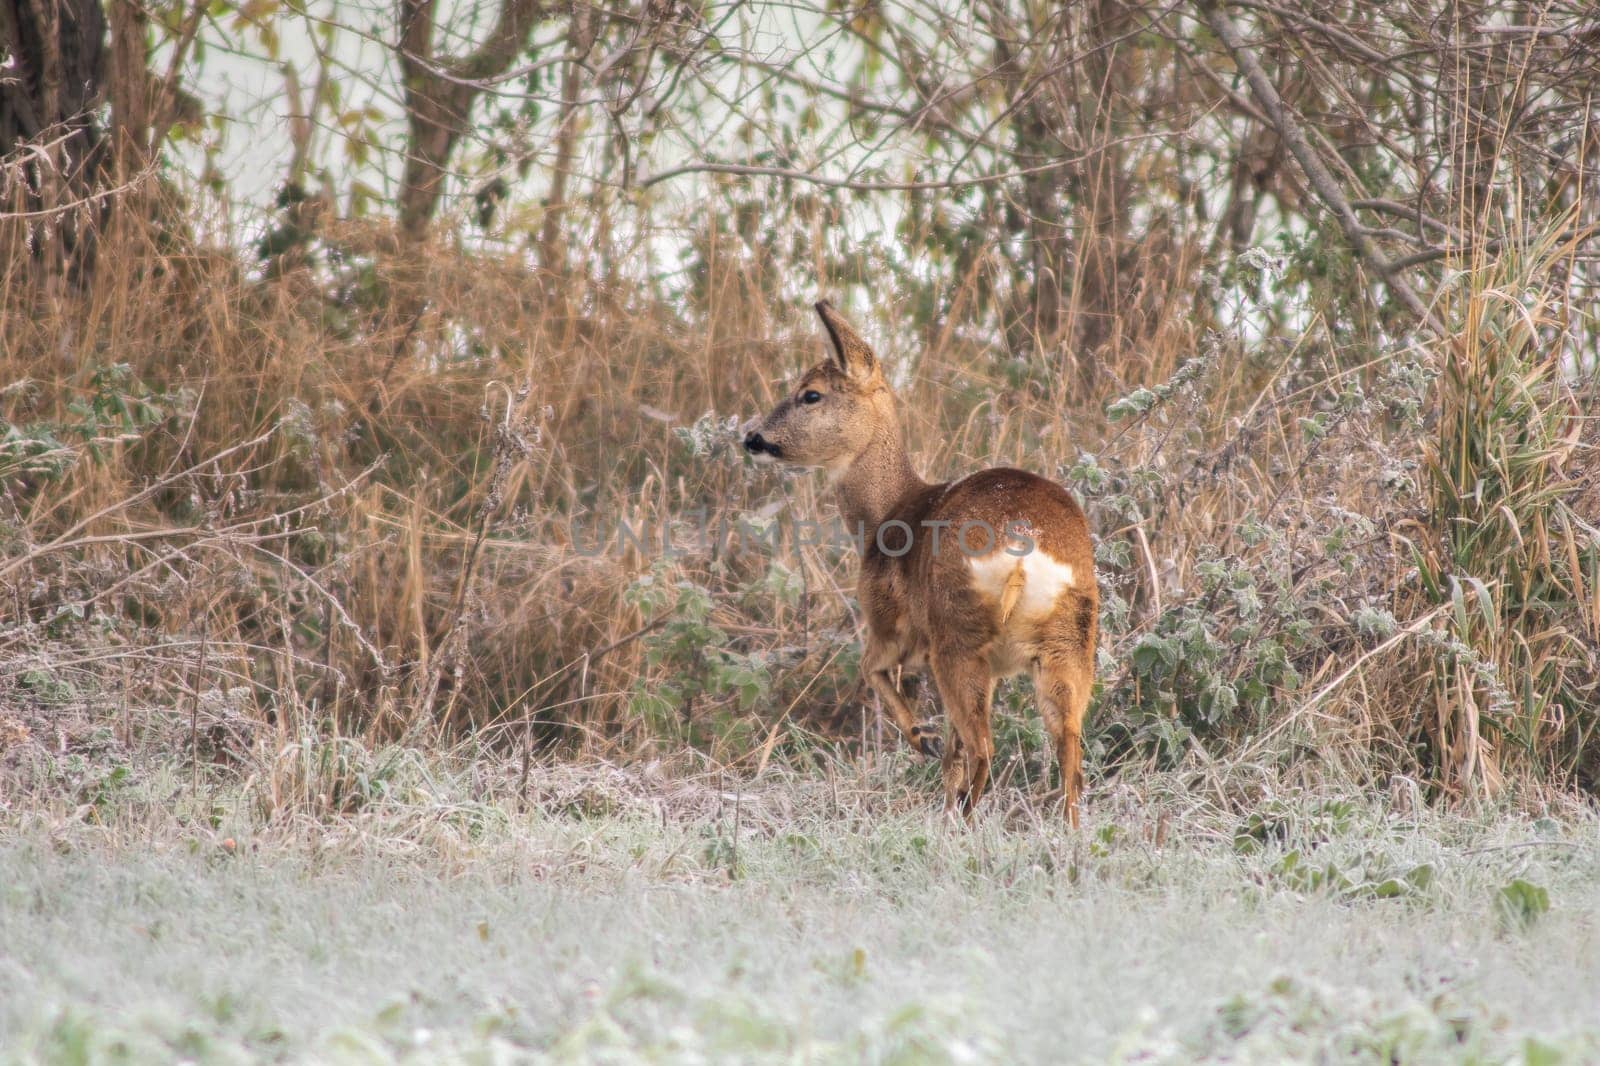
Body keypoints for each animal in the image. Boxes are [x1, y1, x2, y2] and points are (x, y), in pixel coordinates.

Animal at [745, 300, 1100, 819]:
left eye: (810, 394)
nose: (753, 438)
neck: (882, 514)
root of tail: (1024, 548)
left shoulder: (890, 621)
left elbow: (870, 668)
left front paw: (922, 737)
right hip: (1068, 642)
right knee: (1068, 755)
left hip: (956, 632)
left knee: (984, 747)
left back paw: (964, 819)